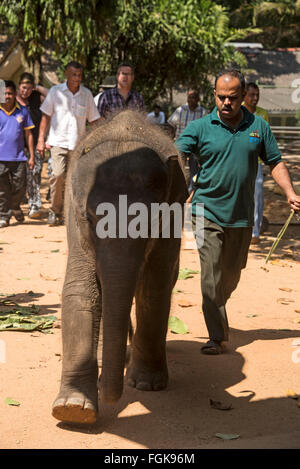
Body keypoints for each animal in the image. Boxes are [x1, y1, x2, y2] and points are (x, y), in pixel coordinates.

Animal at [51, 110, 188, 424]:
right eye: (89, 218)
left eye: (150, 223)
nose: (108, 395)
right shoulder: (73, 215)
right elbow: (81, 289)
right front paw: (73, 409)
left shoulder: (173, 213)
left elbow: (154, 288)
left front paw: (147, 384)